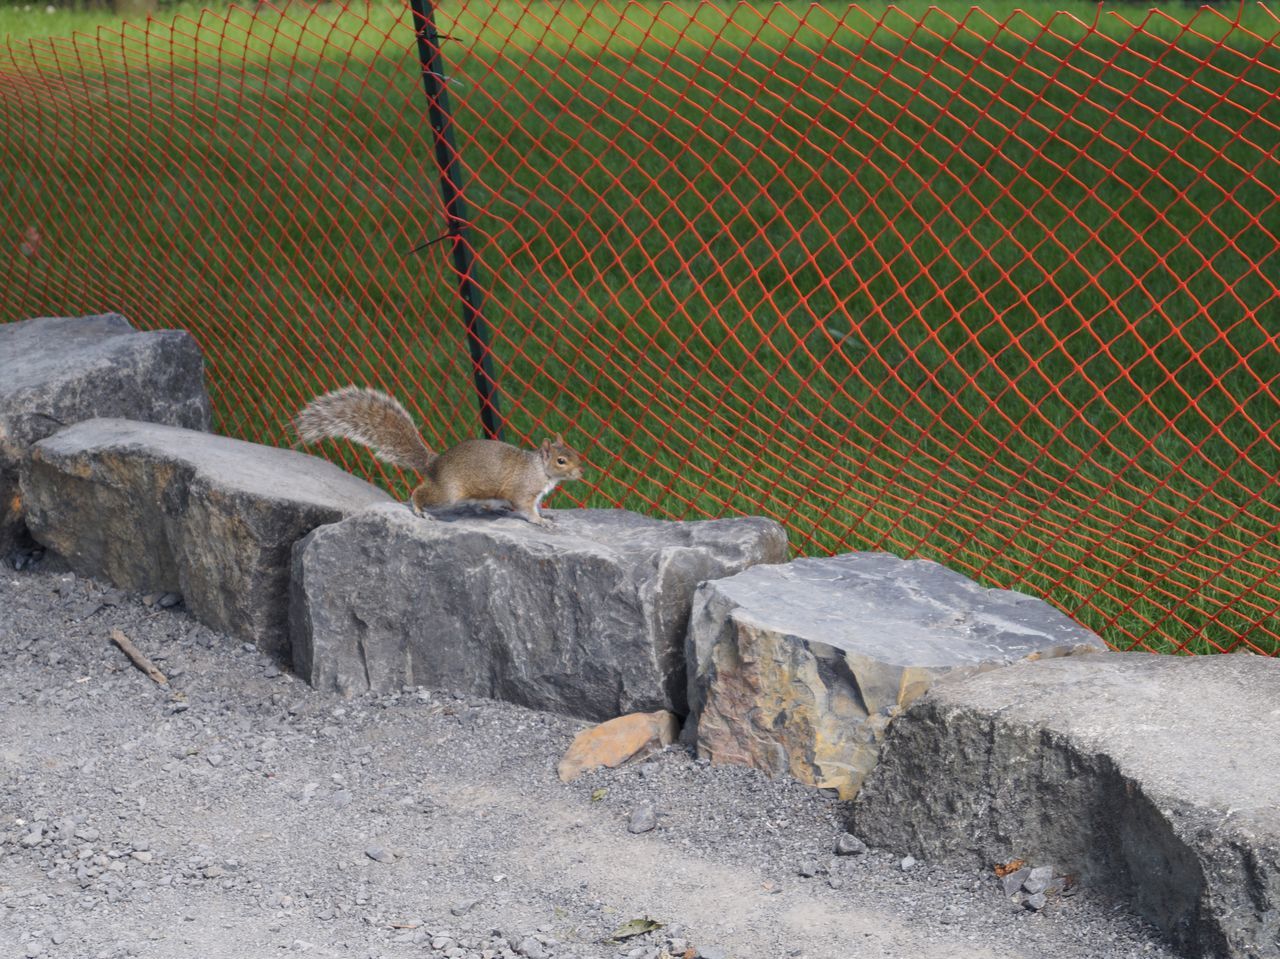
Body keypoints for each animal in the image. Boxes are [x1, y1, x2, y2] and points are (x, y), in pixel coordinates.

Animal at [294, 384, 586, 527]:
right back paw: (420, 510)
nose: (581, 471)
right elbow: (526, 508)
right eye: (561, 460)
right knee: (418, 493)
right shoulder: (523, 490)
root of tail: (433, 463)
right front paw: (540, 521)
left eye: (574, 452)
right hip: (447, 493)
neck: (539, 468)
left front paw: (547, 516)